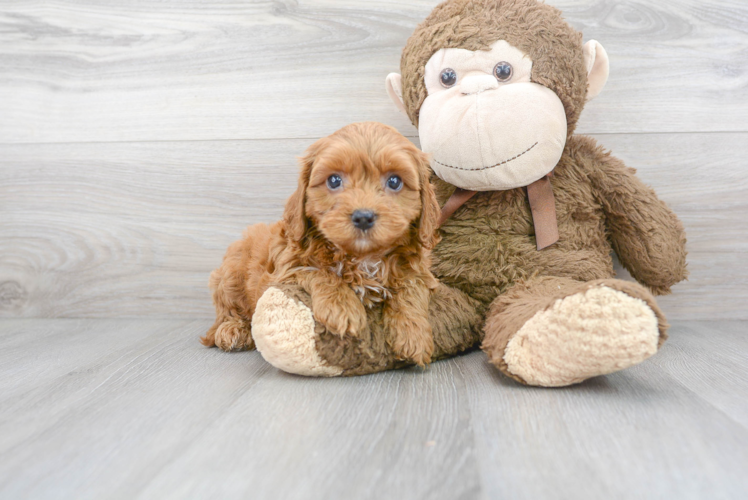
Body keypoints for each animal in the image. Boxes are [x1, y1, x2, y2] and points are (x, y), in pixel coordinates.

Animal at [202, 122, 442, 368]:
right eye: (334, 180)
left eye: (394, 181)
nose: (363, 217)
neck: (363, 257)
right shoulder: (286, 269)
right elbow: (319, 271)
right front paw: (342, 307)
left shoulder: (419, 271)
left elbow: (411, 287)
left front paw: (413, 333)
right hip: (230, 274)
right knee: (226, 312)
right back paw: (232, 330)